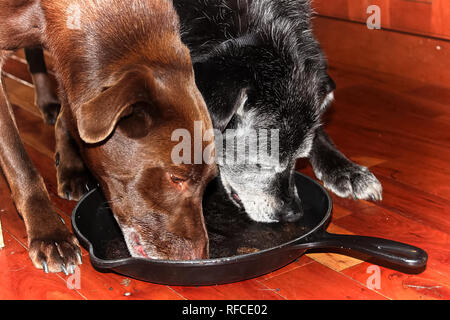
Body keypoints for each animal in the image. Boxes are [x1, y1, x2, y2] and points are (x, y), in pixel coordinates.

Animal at [0, 0, 217, 274]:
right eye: (176, 179)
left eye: (210, 181)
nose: (200, 258)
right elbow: (20, 163)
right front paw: (50, 235)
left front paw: (71, 165)